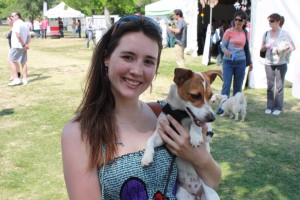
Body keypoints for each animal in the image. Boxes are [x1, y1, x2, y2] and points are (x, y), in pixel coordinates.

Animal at [141, 68, 223, 199]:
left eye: (210, 96)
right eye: (195, 95)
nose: (212, 118)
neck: (180, 113)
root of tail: (197, 193)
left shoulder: (208, 131)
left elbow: (197, 124)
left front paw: (195, 136)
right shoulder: (162, 135)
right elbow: (150, 141)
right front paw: (146, 157)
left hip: (211, 195)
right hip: (182, 195)